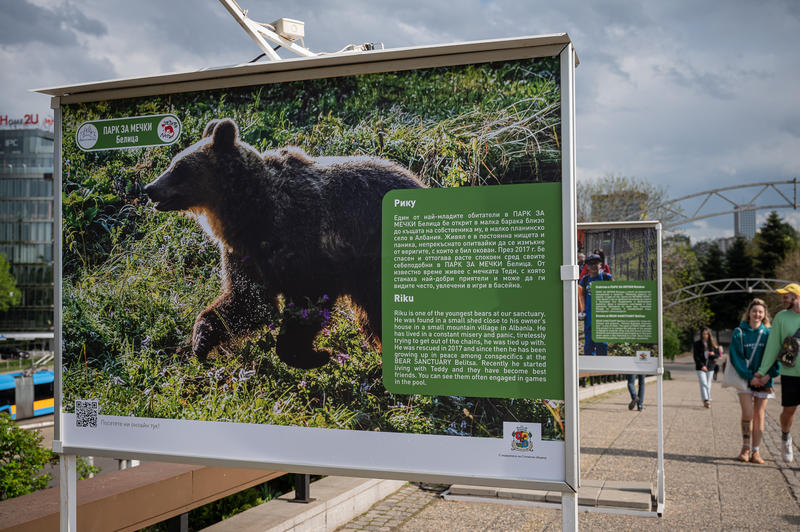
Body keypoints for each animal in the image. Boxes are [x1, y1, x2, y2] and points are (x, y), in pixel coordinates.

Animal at [144, 118, 424, 368]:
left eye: (179, 167)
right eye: (173, 162)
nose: (150, 188)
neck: (249, 213)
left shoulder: (301, 243)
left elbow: (306, 300)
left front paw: (313, 354)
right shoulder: (245, 254)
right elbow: (248, 300)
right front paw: (200, 341)